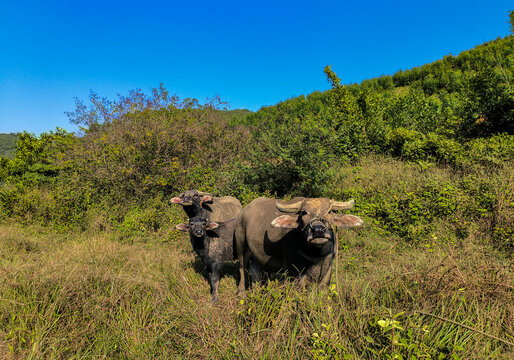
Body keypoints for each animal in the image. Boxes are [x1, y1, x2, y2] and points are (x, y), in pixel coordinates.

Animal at [234, 197, 362, 296]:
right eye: (303, 212)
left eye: (330, 211)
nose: (318, 230)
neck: (316, 255)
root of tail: (242, 213)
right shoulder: (296, 272)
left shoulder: (327, 270)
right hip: (240, 244)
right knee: (242, 267)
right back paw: (241, 292)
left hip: (259, 258)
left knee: (255, 270)